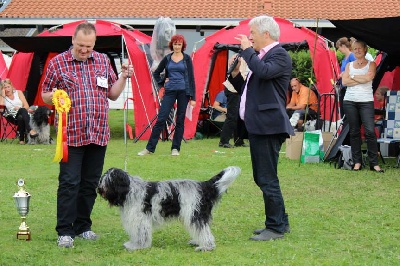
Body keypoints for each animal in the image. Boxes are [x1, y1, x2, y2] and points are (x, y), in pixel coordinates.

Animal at [97, 166, 241, 251]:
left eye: (109, 180)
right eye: (103, 178)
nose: (99, 189)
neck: (130, 190)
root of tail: (202, 185)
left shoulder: (140, 219)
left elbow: (141, 234)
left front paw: (138, 246)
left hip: (194, 214)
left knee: (204, 231)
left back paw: (206, 247)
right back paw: (197, 242)